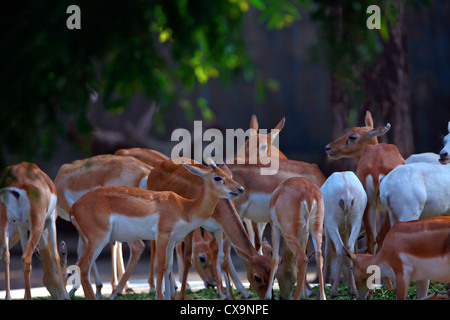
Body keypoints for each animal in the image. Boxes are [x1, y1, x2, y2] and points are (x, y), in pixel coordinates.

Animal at [0, 162, 68, 300]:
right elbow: (56, 257)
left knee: (6, 255)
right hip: (37, 224)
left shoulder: (22, 226)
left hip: (6, 222)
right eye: (67, 274)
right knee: (26, 258)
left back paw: (8, 297)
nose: (69, 296)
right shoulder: (51, 220)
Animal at [71, 159, 246, 302]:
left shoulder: (172, 239)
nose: (240, 189)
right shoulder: (162, 235)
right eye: (217, 177)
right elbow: (160, 266)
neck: (185, 208)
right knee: (83, 266)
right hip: (99, 239)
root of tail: (75, 207)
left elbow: (168, 267)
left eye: (229, 174)